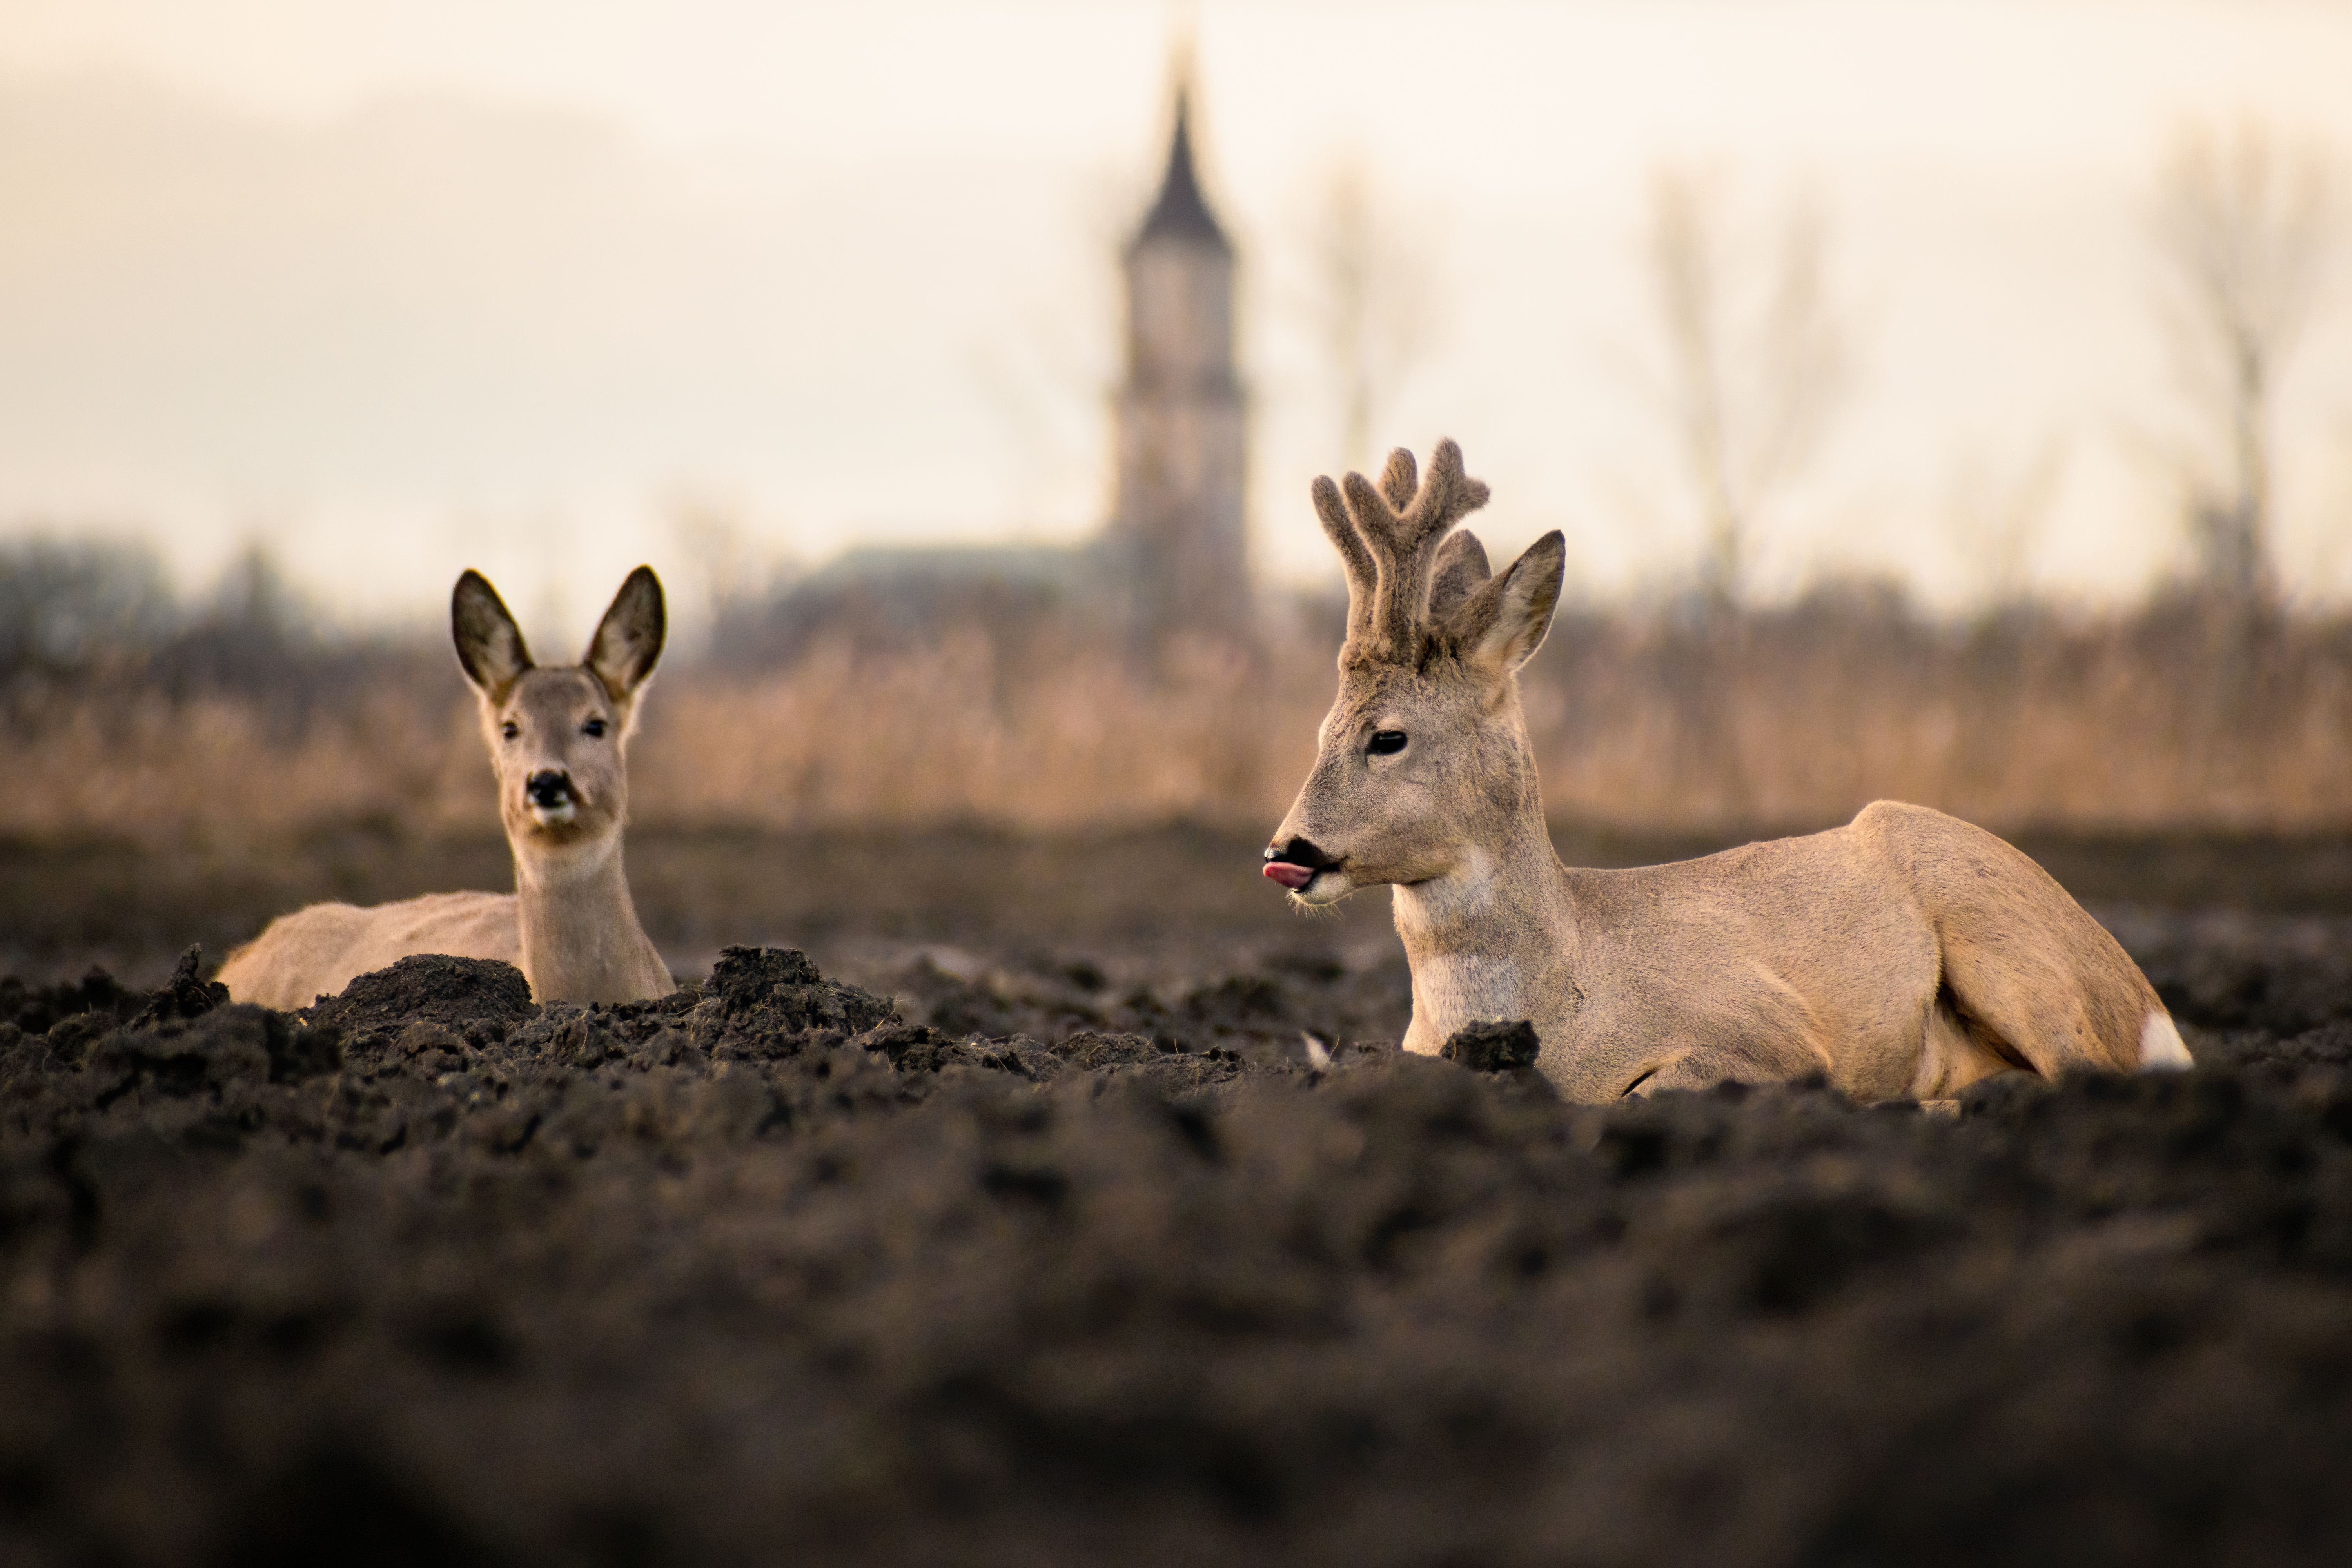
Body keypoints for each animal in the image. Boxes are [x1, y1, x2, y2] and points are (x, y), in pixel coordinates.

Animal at [1262, 440, 2193, 1103]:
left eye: (1388, 736)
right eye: (1318, 729)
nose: (1287, 849)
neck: (1566, 984)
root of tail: (2149, 1003)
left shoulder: (1770, 1034)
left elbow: (1654, 1091)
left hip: (2005, 938)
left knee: (2076, 1069)